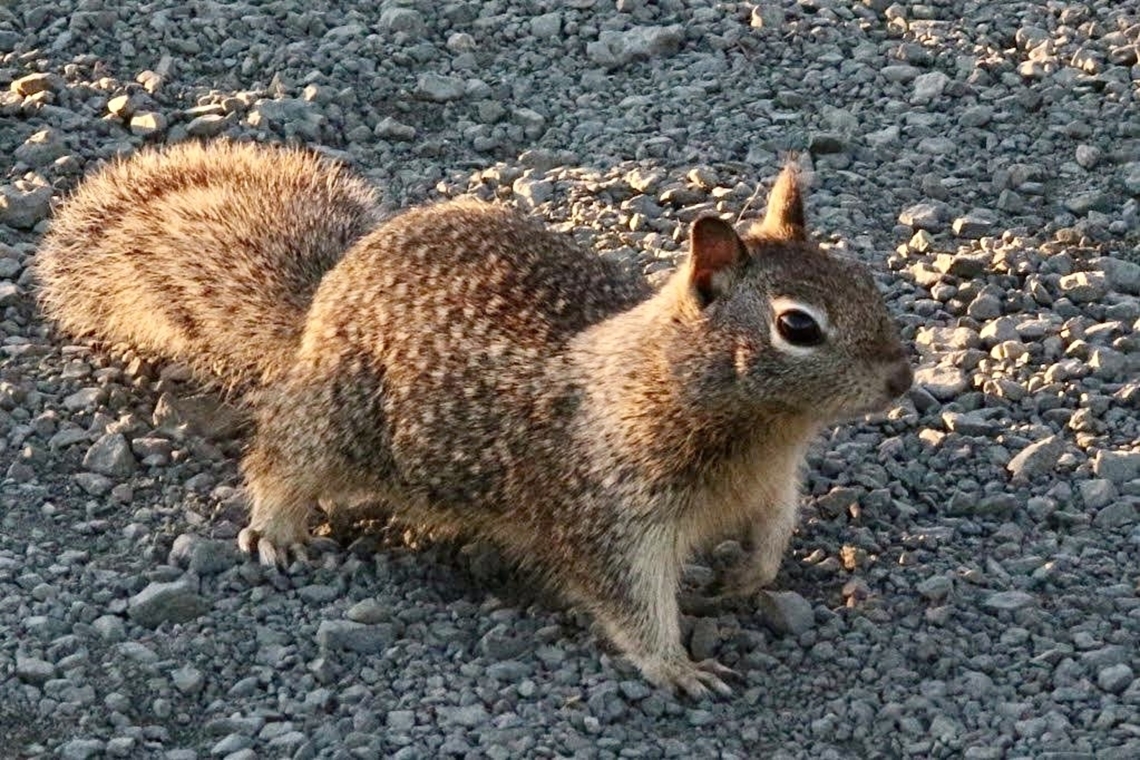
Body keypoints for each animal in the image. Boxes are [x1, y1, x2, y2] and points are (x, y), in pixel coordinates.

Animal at [35, 141, 913, 698]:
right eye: (797, 326)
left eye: (865, 280)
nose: (904, 378)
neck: (758, 432)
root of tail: (320, 304)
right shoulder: (607, 511)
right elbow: (629, 600)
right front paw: (675, 667)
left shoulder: (773, 485)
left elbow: (770, 539)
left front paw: (742, 576)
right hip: (331, 417)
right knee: (278, 460)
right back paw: (278, 530)